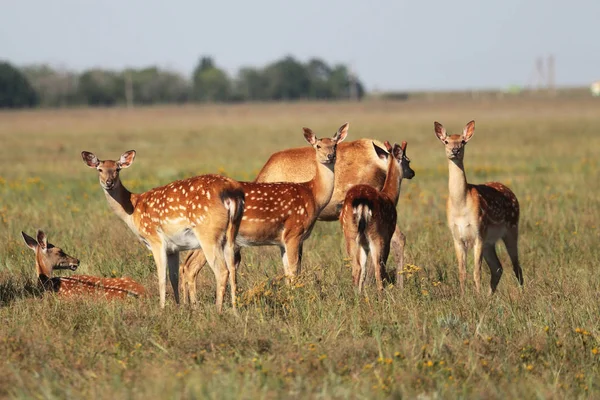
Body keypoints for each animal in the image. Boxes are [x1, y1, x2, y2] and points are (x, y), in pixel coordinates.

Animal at [81, 150, 245, 312]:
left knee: (222, 270)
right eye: (99, 169)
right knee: (232, 268)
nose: (109, 182)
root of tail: (232, 193)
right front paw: (179, 306)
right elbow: (174, 277)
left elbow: (162, 277)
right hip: (231, 235)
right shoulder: (173, 248)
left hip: (208, 234)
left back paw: (218, 310)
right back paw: (235, 311)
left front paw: (161, 308)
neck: (133, 210)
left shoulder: (155, 239)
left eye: (117, 169)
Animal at [179, 123, 346, 304]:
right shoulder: (294, 232)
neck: (312, 194)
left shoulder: (282, 241)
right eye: (318, 146)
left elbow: (287, 272)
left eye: (335, 145)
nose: (330, 156)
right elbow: (294, 271)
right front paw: (296, 298)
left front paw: (290, 296)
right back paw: (195, 305)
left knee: (186, 265)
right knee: (190, 266)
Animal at [340, 142, 414, 292]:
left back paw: (355, 295)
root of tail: (362, 202)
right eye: (408, 160)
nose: (412, 173)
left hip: (350, 232)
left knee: (356, 268)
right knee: (378, 268)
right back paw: (382, 294)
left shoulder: (363, 241)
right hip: (376, 234)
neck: (390, 196)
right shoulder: (388, 232)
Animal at [434, 119, 524, 294]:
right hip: (490, 241)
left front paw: (477, 296)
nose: (455, 150)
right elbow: (462, 272)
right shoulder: (456, 236)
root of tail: (511, 192)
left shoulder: (479, 232)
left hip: (512, 228)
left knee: (516, 266)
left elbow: (477, 272)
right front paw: (463, 296)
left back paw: (522, 293)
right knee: (498, 268)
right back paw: (490, 296)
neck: (461, 205)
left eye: (463, 141)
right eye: (446, 141)